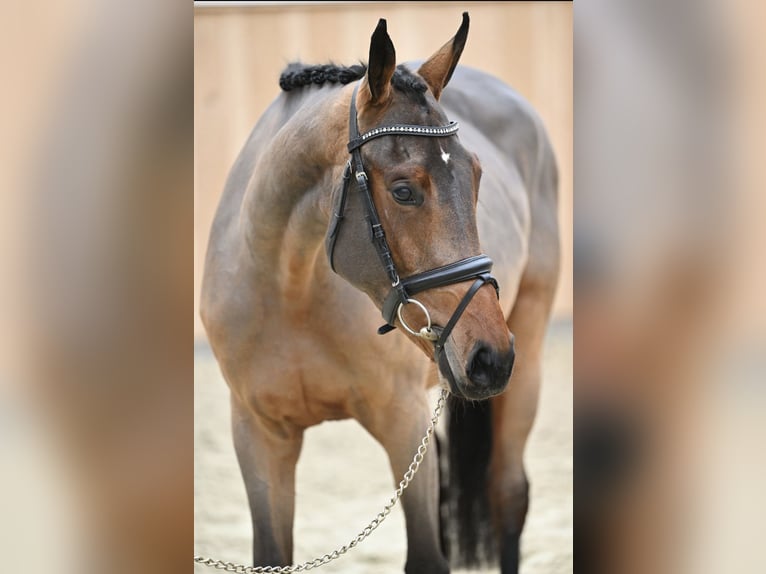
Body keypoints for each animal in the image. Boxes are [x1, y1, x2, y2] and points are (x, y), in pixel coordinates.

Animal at [200, 13, 560, 574]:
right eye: (403, 190)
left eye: (477, 176)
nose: (490, 357)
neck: (288, 288)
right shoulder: (259, 435)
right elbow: (271, 553)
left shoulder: (403, 421)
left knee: (508, 493)